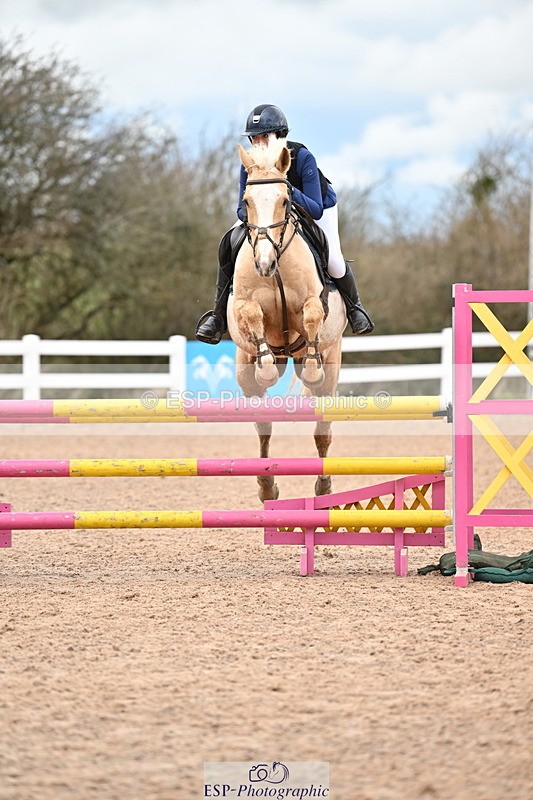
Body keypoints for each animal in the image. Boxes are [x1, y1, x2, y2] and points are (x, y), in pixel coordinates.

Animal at [226, 137, 347, 503]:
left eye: (284, 201)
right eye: (246, 202)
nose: (264, 263)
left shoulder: (312, 301)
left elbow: (312, 315)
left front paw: (311, 364)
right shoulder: (244, 304)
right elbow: (251, 314)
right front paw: (264, 365)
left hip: (331, 370)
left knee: (322, 426)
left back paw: (323, 487)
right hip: (246, 374)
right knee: (263, 424)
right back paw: (267, 486)